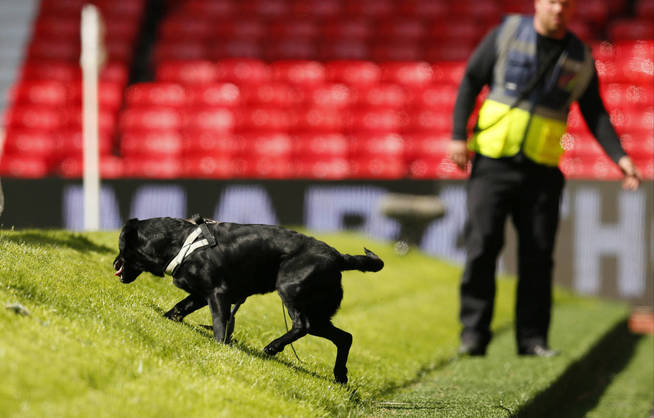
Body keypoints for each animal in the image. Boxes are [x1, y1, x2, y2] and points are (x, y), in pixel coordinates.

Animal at [113, 216, 384, 382]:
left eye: (120, 247)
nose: (114, 264)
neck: (180, 242)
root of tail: (338, 256)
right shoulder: (201, 294)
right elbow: (180, 307)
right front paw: (167, 317)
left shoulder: (218, 293)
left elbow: (220, 325)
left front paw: (221, 347)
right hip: (319, 312)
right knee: (345, 338)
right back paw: (340, 375)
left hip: (290, 289)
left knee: (302, 325)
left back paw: (274, 346)